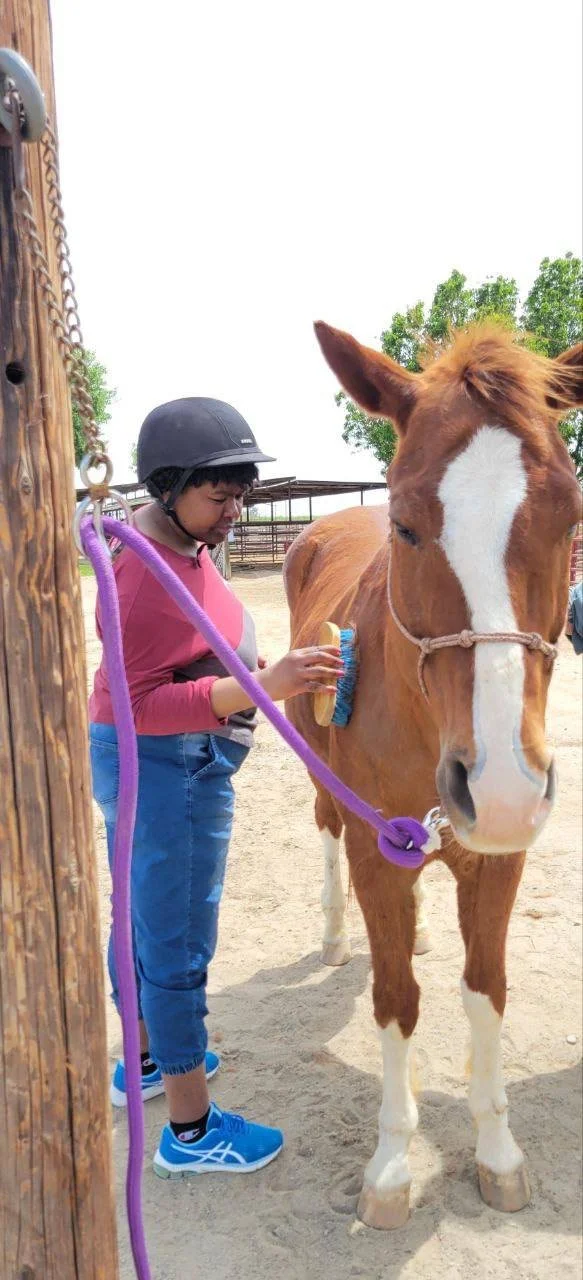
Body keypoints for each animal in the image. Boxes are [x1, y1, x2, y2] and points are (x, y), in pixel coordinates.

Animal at [284, 322, 582, 1229]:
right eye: (407, 524)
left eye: (570, 516)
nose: (501, 788)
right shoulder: (377, 855)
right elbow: (395, 999)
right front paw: (389, 1167)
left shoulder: (496, 861)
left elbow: (484, 990)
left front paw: (496, 1151)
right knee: (324, 837)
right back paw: (333, 932)